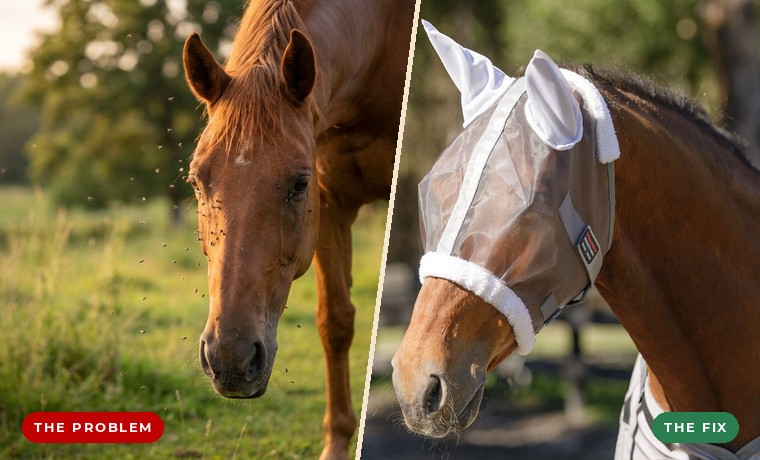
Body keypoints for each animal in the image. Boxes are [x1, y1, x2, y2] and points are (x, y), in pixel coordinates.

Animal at [181, 1, 414, 458]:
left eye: (297, 184)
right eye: (197, 181)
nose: (230, 359)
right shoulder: (330, 209)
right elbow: (335, 322)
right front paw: (337, 442)